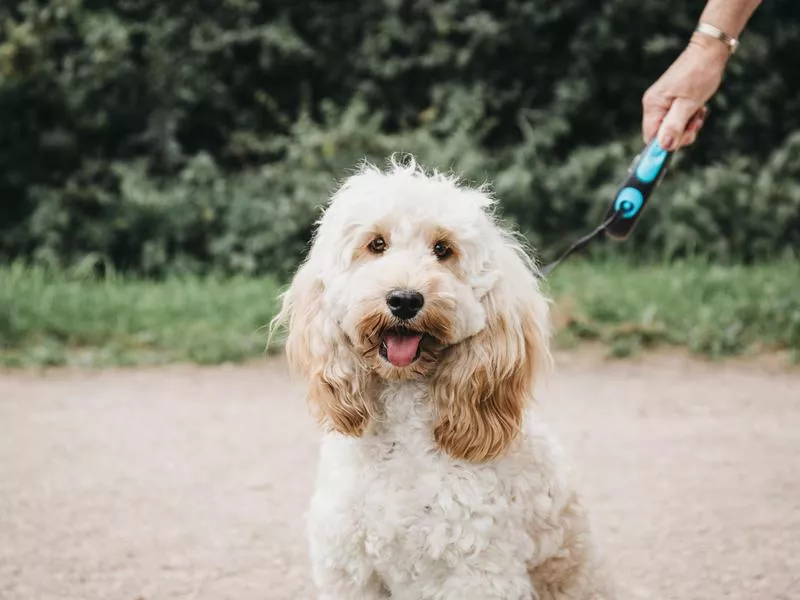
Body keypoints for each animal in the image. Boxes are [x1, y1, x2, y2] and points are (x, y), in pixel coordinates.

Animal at [276, 157, 612, 596]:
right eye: (376, 244)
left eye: (443, 249)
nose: (404, 300)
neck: (403, 436)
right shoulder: (351, 571)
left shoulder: (479, 575)